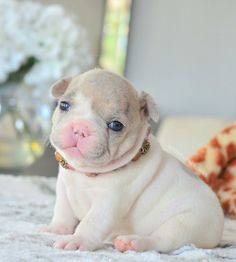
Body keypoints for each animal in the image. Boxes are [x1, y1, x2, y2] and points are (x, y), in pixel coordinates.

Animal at [41, 68, 224, 253]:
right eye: (64, 105)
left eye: (116, 125)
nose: (80, 128)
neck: (86, 173)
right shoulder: (64, 188)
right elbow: (63, 211)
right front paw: (56, 229)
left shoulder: (108, 202)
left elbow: (91, 222)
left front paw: (77, 239)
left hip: (185, 224)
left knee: (162, 240)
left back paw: (133, 242)